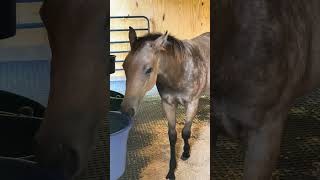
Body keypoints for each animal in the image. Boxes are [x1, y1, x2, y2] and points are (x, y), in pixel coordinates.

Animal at [120, 27, 210, 179]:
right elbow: (172, 136)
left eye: (149, 69)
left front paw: (186, 153)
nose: (126, 110)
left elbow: (186, 132)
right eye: (124, 66)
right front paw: (171, 170)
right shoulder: (168, 104)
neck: (180, 72)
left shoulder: (192, 104)